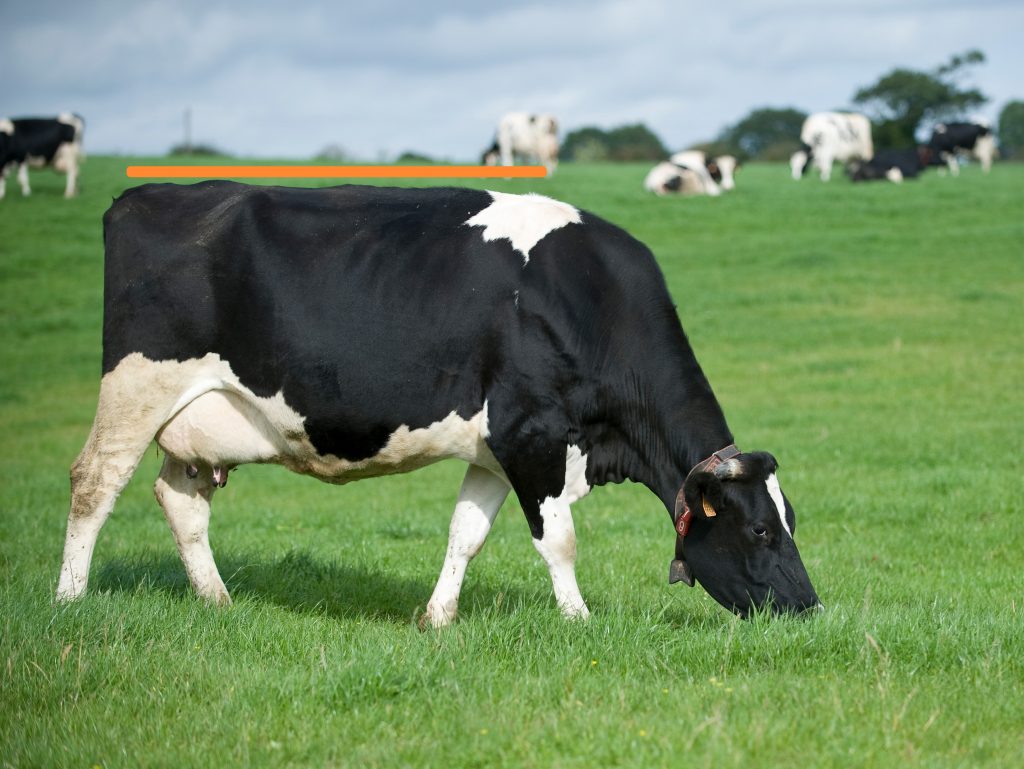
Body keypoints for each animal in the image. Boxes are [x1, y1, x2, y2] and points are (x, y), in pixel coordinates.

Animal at [56, 182, 820, 626]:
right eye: (760, 530)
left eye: (792, 519)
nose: (808, 607)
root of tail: (148, 193)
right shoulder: (534, 435)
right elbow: (559, 538)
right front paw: (579, 619)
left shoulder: (495, 446)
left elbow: (466, 533)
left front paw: (438, 617)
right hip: (137, 386)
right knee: (95, 482)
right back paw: (69, 598)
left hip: (197, 419)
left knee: (179, 500)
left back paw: (218, 601)